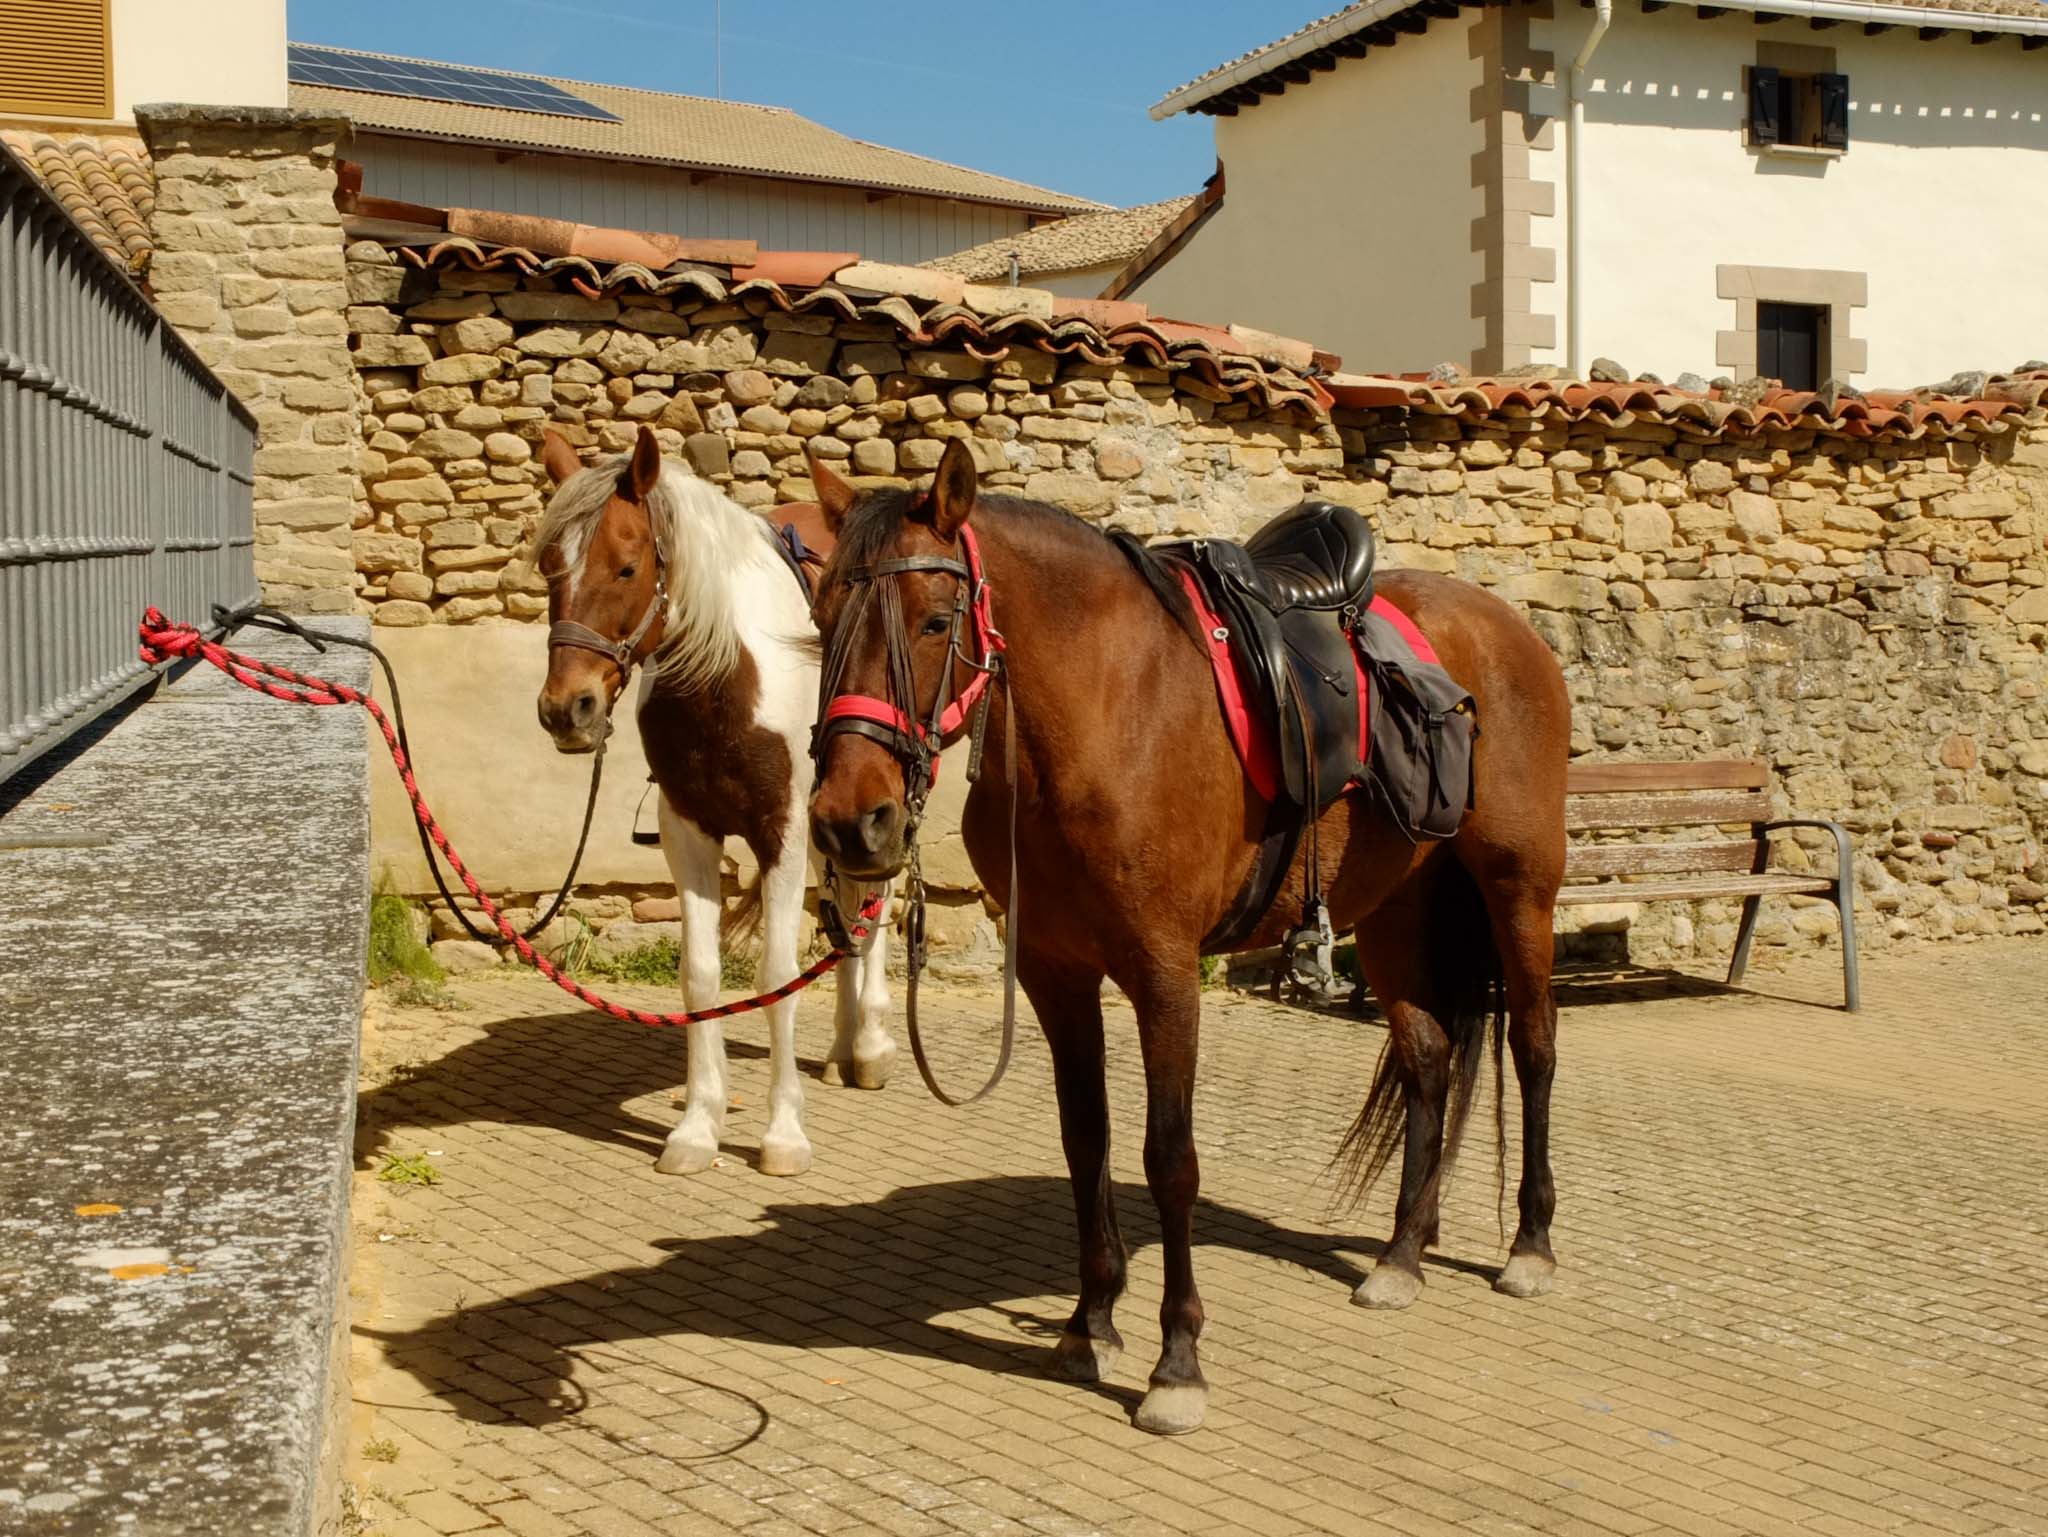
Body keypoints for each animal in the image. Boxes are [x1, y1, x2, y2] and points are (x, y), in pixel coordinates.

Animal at [533, 426, 898, 1178]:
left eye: (626, 567)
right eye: (550, 568)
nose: (566, 710)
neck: (726, 675)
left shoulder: (783, 829)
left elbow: (777, 973)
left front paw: (783, 1135)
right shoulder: (689, 831)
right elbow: (700, 976)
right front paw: (698, 1127)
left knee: (879, 904)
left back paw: (873, 1046)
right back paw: (844, 1047)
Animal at [804, 439, 1570, 1434]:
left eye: (936, 621)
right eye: (822, 618)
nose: (849, 822)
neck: (1101, 719)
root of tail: (1507, 627)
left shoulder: (1165, 974)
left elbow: (1169, 1159)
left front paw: (1177, 1361)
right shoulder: (1055, 973)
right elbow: (1084, 1139)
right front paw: (1090, 1322)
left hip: (1520, 890)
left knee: (1534, 1045)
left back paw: (1531, 1243)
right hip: (1397, 907)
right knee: (1430, 1059)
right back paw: (1401, 1254)